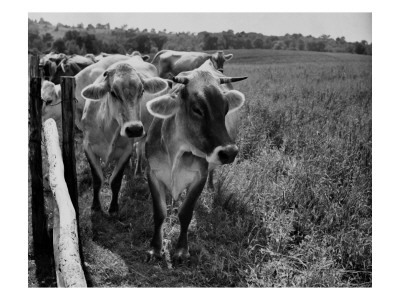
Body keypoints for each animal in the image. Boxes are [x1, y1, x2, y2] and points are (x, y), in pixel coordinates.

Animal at [79, 54, 169, 214]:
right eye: (113, 93)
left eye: (142, 91)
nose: (134, 129)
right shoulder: (88, 146)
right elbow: (97, 179)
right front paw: (96, 206)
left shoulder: (126, 150)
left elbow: (116, 181)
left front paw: (113, 207)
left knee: (139, 150)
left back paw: (138, 171)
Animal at [142, 59, 245, 262]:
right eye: (197, 109)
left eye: (226, 109)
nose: (230, 152)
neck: (176, 151)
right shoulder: (152, 172)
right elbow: (159, 212)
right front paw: (155, 248)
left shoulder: (199, 176)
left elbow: (186, 213)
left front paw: (182, 250)